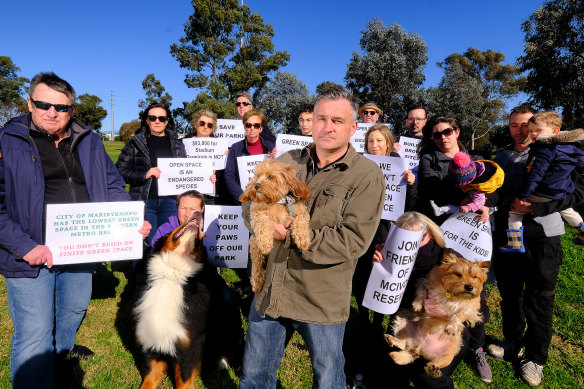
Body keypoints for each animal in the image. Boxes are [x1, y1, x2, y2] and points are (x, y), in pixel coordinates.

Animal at [238, 158, 310, 292]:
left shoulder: (300, 212)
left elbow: (300, 221)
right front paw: (266, 244)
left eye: (270, 176)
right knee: (257, 267)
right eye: (257, 176)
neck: (277, 201)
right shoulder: (256, 213)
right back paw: (257, 283)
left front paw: (303, 240)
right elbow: (263, 224)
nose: (256, 185)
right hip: (255, 248)